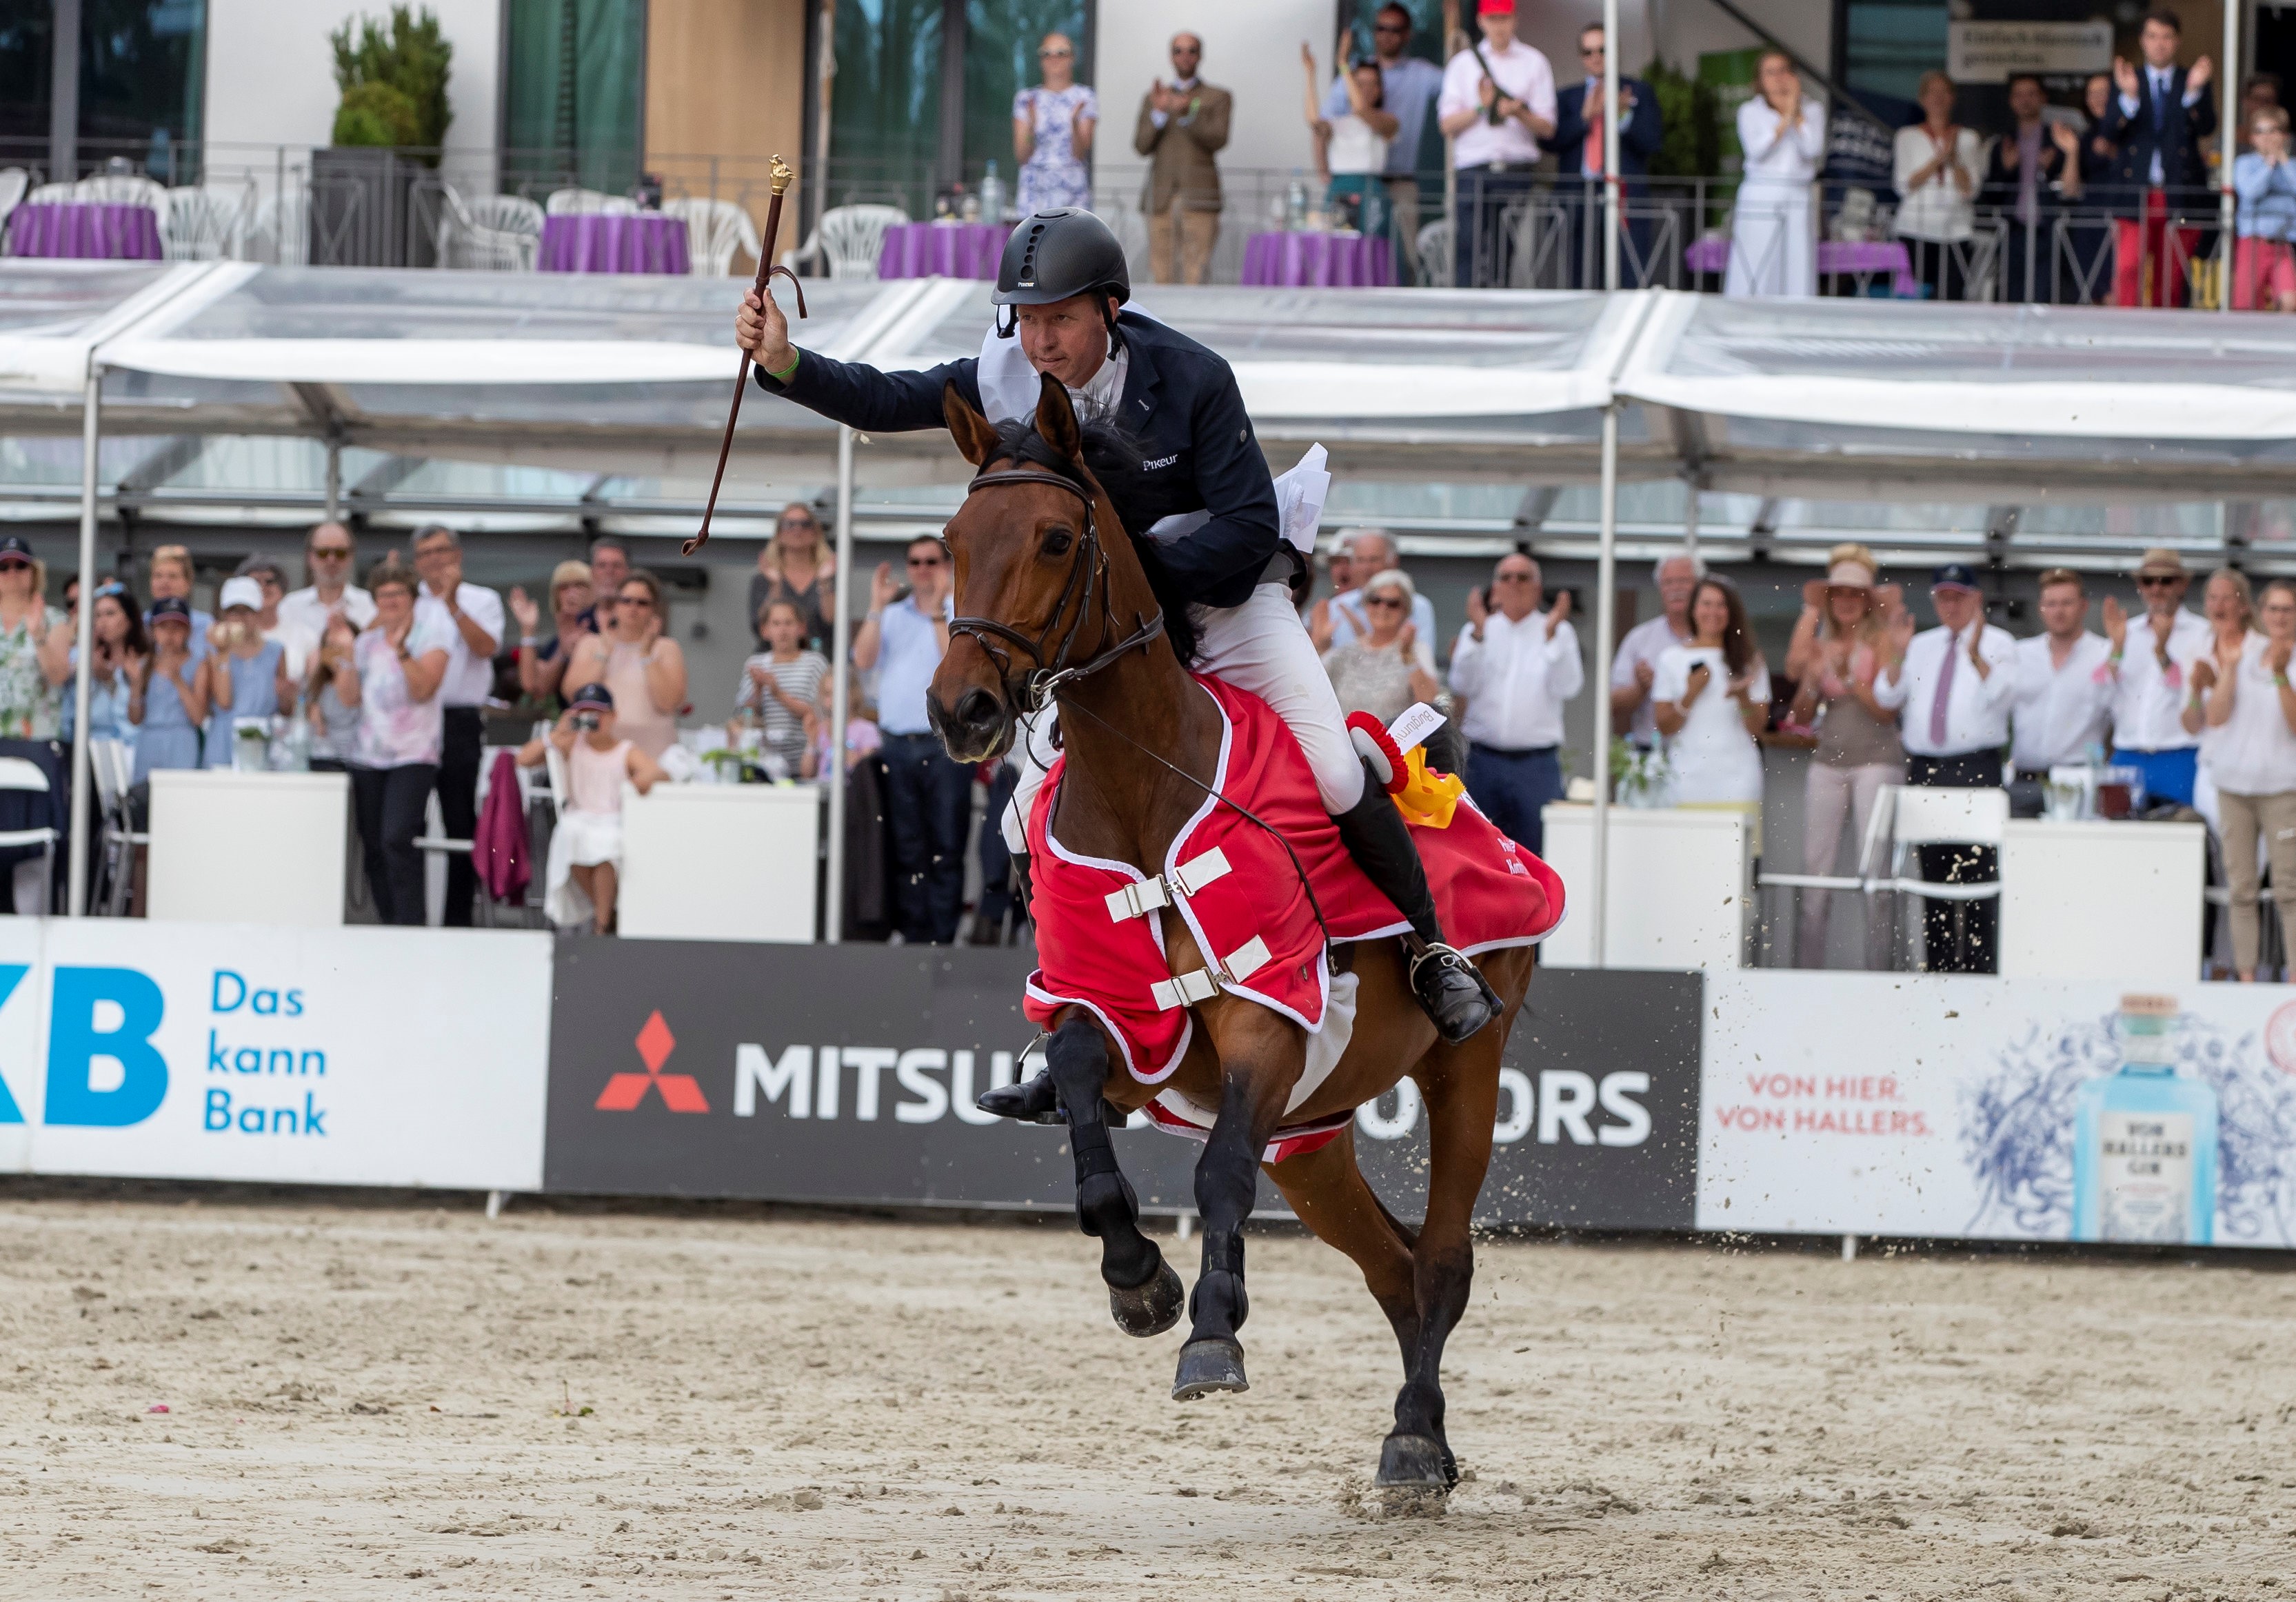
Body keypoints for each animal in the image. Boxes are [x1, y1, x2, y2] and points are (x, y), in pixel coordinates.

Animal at [918, 374, 1542, 1487]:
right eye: (952, 537)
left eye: (1053, 539)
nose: (963, 710)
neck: (1141, 792)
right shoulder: (1123, 1031)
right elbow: (1082, 1102)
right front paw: (1140, 1281)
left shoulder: (1269, 1019)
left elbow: (1216, 1173)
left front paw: (1210, 1330)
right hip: (1312, 1136)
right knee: (1392, 1268)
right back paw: (1420, 1438)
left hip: (1464, 1067)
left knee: (1440, 1257)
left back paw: (1413, 1438)